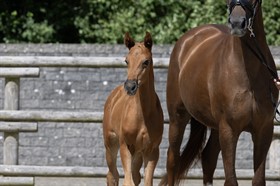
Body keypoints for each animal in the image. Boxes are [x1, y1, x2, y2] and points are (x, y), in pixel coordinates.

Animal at [104, 32, 163, 186]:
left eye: (146, 61)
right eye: (126, 61)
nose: (130, 87)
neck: (142, 114)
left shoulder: (152, 150)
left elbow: (146, 181)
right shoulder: (125, 145)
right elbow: (127, 181)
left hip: (138, 152)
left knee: (135, 175)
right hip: (110, 144)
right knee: (113, 175)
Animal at [162, 0, 278, 186]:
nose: (237, 23)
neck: (248, 74)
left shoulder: (264, 130)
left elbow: (258, 179)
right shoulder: (229, 130)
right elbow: (231, 180)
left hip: (215, 126)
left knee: (208, 158)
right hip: (178, 118)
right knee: (172, 159)